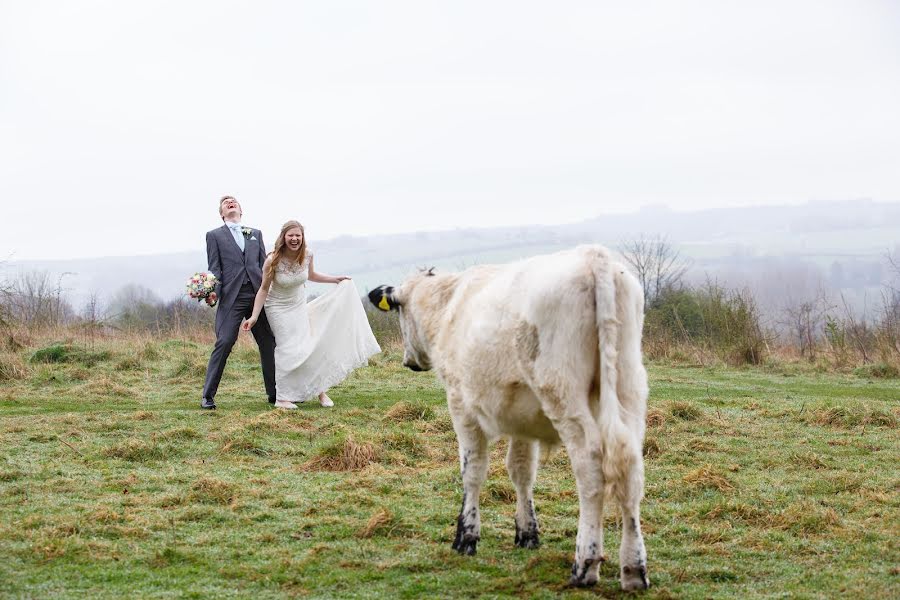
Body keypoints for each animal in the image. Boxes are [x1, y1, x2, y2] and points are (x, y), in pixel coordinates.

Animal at [370, 244, 652, 592]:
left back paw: (584, 564)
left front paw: (466, 537)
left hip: (563, 394)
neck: (450, 307)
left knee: (591, 470)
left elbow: (472, 471)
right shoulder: (522, 418)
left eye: (399, 311)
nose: (409, 361)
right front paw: (527, 533)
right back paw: (634, 568)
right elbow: (521, 471)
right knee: (630, 471)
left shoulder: (461, 404)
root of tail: (592, 256)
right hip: (630, 388)